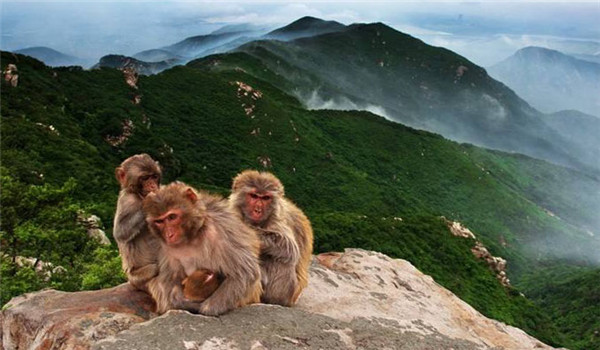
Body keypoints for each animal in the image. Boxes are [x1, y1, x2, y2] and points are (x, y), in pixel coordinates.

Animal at [113, 154, 163, 292]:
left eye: (154, 176)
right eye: (145, 178)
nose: (152, 185)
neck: (139, 196)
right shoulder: (126, 200)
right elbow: (120, 232)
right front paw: (150, 201)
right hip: (135, 279)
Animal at [143, 182, 262, 316]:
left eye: (172, 217)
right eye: (159, 221)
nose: (169, 234)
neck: (192, 236)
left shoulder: (221, 230)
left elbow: (245, 273)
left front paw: (207, 309)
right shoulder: (166, 247)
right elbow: (171, 281)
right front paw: (184, 303)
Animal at [230, 170, 314, 306]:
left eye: (265, 198)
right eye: (254, 196)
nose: (258, 208)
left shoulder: (278, 218)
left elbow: (290, 247)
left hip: (289, 292)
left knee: (282, 258)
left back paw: (273, 300)